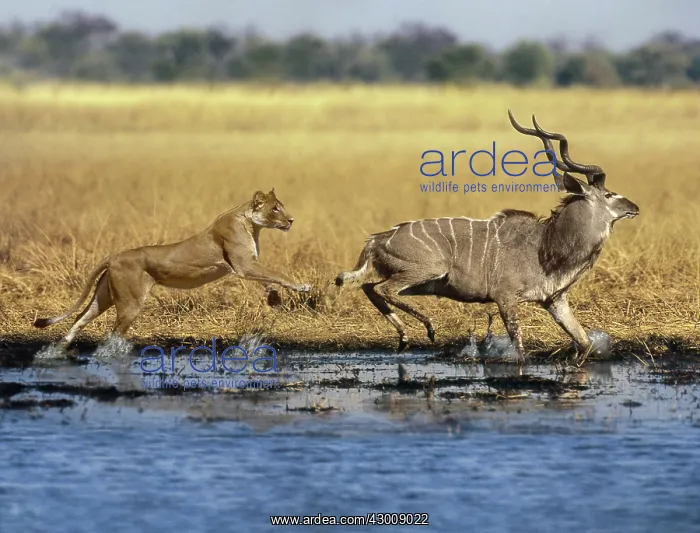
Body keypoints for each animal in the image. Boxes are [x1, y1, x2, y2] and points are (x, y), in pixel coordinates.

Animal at [33, 189, 312, 348]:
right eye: (275, 208)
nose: (291, 220)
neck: (251, 224)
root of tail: (114, 255)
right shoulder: (243, 264)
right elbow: (277, 273)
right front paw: (302, 286)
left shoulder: (247, 265)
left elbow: (269, 278)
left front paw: (274, 298)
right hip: (130, 302)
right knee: (112, 334)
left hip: (104, 296)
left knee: (79, 319)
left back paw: (57, 351)